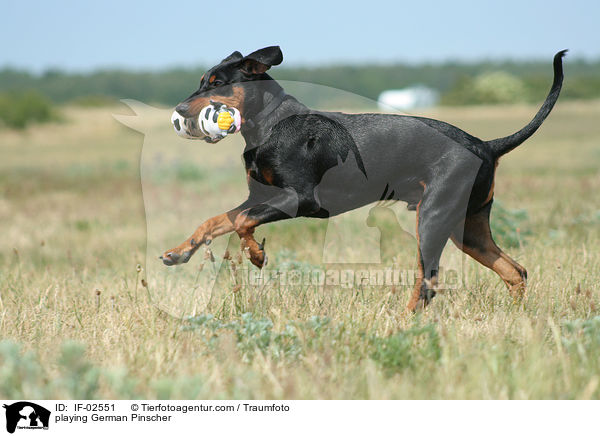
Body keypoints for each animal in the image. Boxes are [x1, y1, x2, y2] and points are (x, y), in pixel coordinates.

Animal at [162, 46, 564, 310]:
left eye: (217, 83)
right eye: (202, 81)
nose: (179, 109)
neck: (272, 124)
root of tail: (486, 146)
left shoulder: (300, 199)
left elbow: (242, 221)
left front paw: (257, 254)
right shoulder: (260, 197)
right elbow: (216, 221)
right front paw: (179, 252)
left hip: (434, 218)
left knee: (428, 282)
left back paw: (403, 325)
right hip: (467, 227)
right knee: (515, 271)